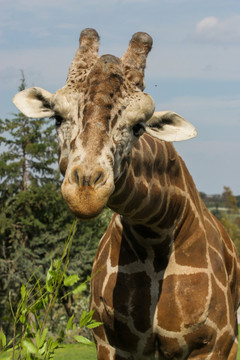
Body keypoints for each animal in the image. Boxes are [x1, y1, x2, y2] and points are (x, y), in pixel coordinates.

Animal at [13, 28, 240, 360]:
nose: (85, 193)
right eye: (57, 118)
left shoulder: (214, 343)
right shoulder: (109, 342)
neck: (156, 233)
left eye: (138, 127)